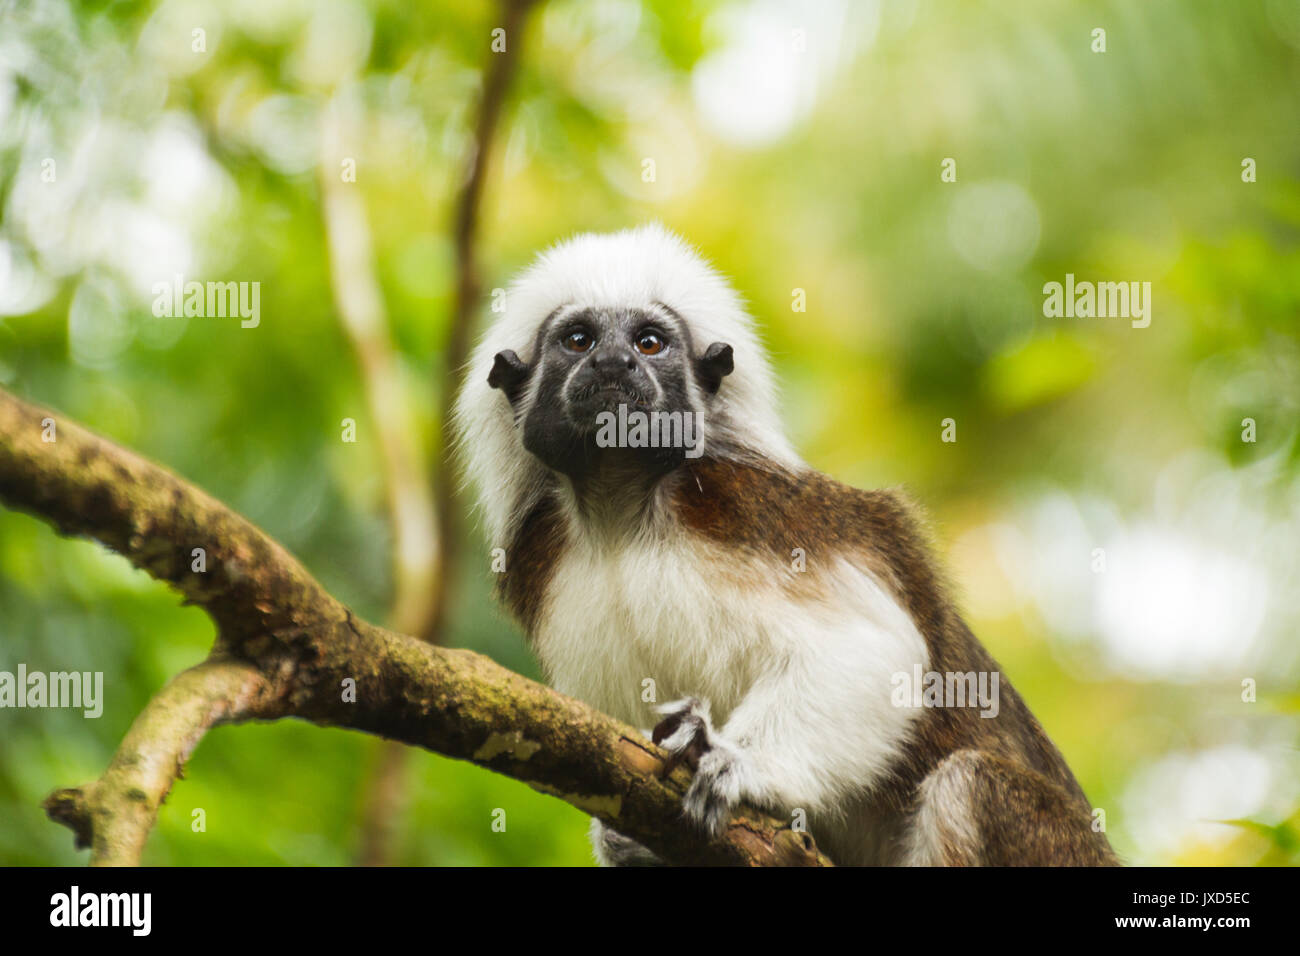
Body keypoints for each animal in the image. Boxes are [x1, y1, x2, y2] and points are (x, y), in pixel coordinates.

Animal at [457, 223, 1118, 868]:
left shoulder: (751, 511)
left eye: (648, 343)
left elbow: (873, 648)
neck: (623, 511)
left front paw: (736, 762)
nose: (615, 363)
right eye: (578, 340)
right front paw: (630, 843)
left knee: (969, 783)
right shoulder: (548, 563)